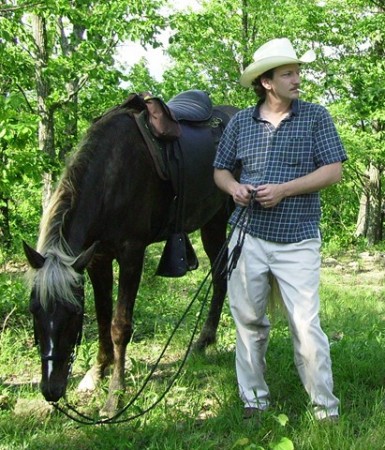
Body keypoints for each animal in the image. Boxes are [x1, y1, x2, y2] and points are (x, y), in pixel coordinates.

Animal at [23, 89, 237, 416]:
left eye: (73, 313)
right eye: (34, 310)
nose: (52, 390)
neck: (110, 175)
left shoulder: (131, 254)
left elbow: (119, 325)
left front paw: (114, 397)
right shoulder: (96, 259)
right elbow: (102, 316)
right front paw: (95, 375)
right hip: (211, 222)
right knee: (220, 277)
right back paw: (204, 341)